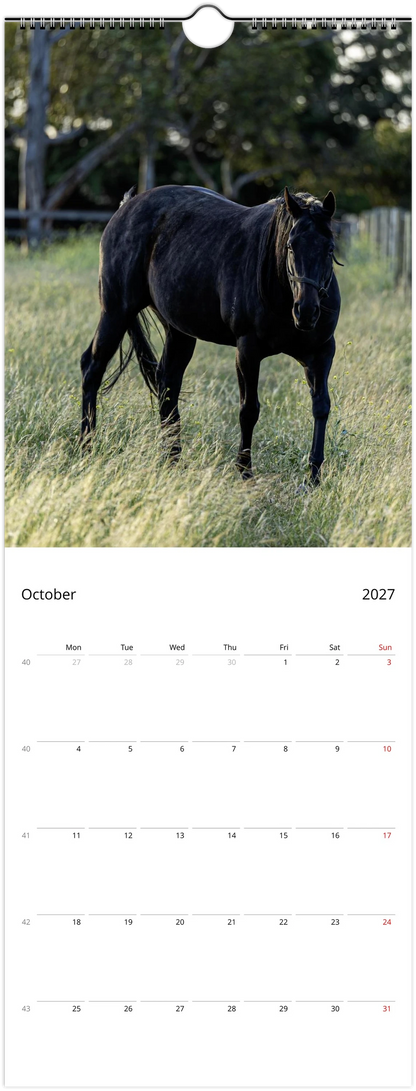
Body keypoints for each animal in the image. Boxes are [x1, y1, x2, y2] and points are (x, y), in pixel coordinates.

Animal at [80, 184, 341, 483]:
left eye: (329, 248)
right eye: (290, 246)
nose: (306, 312)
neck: (280, 289)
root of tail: (127, 207)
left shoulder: (321, 352)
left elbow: (321, 407)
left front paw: (314, 477)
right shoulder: (248, 350)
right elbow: (249, 410)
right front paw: (245, 472)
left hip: (179, 332)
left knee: (167, 383)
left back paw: (172, 460)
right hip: (116, 312)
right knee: (92, 368)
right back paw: (86, 447)